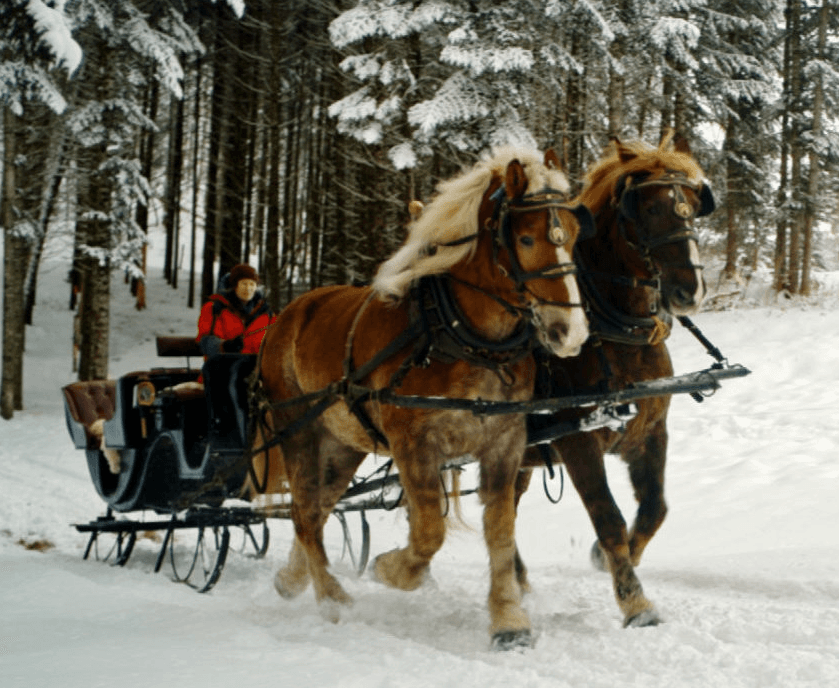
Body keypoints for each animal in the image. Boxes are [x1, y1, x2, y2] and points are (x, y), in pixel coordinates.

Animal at [252, 146, 593, 649]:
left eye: (573, 234)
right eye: (527, 239)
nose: (571, 332)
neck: (461, 338)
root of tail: (288, 314)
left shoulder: (504, 442)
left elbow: (500, 530)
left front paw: (508, 619)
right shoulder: (413, 443)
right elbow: (429, 529)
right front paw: (393, 569)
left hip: (342, 443)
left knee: (316, 508)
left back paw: (294, 579)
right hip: (298, 429)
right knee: (305, 511)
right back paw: (331, 597)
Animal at [514, 134, 715, 627]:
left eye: (692, 206)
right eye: (648, 207)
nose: (690, 291)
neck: (617, 332)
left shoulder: (650, 431)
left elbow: (654, 508)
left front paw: (610, 558)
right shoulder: (578, 442)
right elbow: (608, 516)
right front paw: (635, 603)